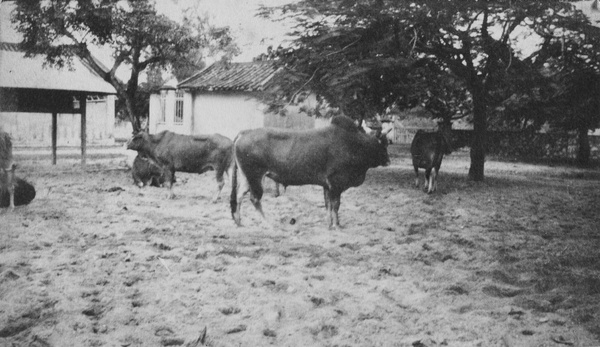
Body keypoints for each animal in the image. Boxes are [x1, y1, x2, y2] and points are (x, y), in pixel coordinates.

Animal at [229, 115, 390, 228]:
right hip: (255, 176)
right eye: (382, 144)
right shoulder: (335, 184)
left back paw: (238, 221)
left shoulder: (327, 186)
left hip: (247, 176)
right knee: (254, 199)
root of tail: (245, 133)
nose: (388, 161)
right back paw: (267, 222)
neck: (354, 143)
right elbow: (335, 205)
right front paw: (336, 224)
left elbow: (328, 205)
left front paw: (330, 223)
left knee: (239, 195)